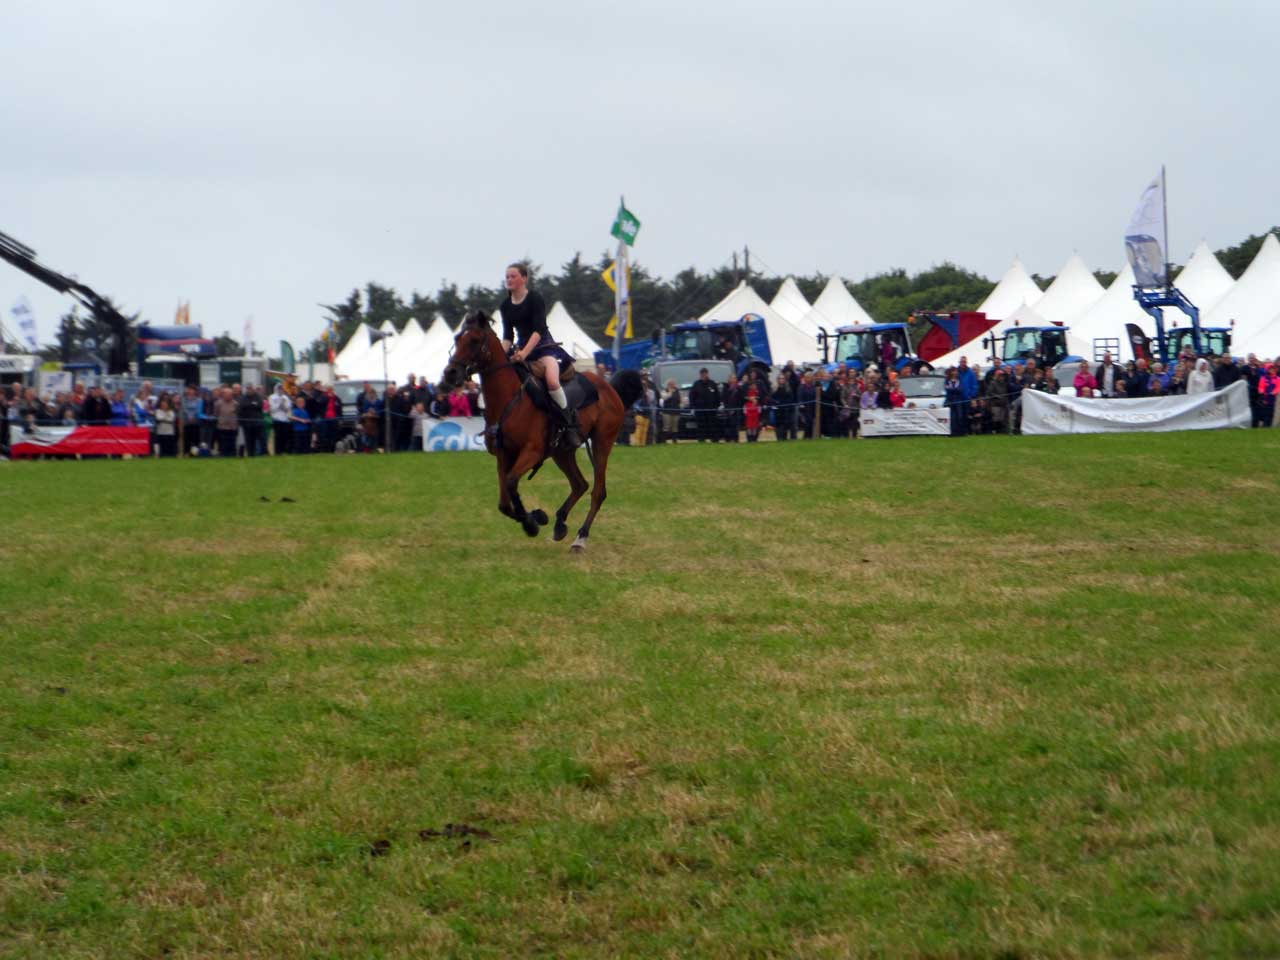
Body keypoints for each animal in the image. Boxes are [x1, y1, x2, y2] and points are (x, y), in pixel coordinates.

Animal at [440, 313, 645, 552]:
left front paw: (533, 522)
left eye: (474, 340)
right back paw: (560, 524)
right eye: (457, 338)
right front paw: (536, 518)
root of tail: (609, 387)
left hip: (601, 443)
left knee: (597, 491)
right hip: (562, 452)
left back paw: (580, 538)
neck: (510, 399)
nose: (450, 373)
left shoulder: (531, 452)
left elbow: (511, 483)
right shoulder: (504, 456)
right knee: (579, 484)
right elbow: (504, 503)